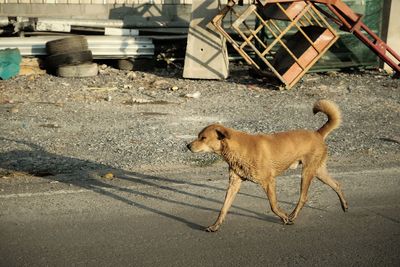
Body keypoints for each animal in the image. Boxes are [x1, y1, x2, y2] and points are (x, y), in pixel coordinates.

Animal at [188, 100, 346, 232]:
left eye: (203, 138)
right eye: (198, 136)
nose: (187, 146)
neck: (238, 149)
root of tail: (317, 133)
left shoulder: (269, 181)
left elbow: (273, 205)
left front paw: (285, 218)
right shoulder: (234, 183)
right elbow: (223, 208)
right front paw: (215, 226)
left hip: (307, 172)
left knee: (303, 197)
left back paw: (293, 215)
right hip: (318, 171)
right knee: (337, 184)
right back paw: (344, 205)